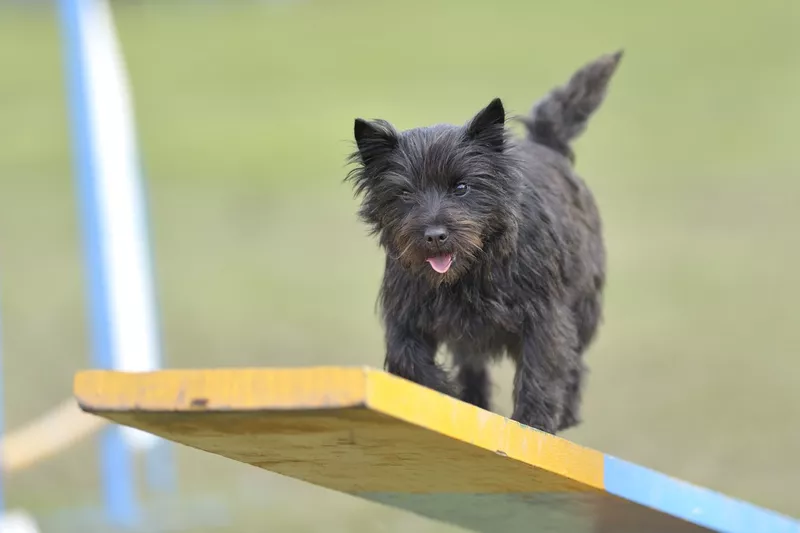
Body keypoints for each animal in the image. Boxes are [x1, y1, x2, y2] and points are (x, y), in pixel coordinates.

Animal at [346, 51, 620, 432]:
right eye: (404, 193)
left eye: (462, 187)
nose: (435, 235)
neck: (468, 272)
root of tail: (547, 143)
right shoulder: (405, 313)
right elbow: (407, 358)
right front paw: (445, 394)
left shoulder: (545, 315)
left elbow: (541, 369)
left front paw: (533, 424)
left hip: (583, 301)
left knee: (574, 358)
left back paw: (564, 412)